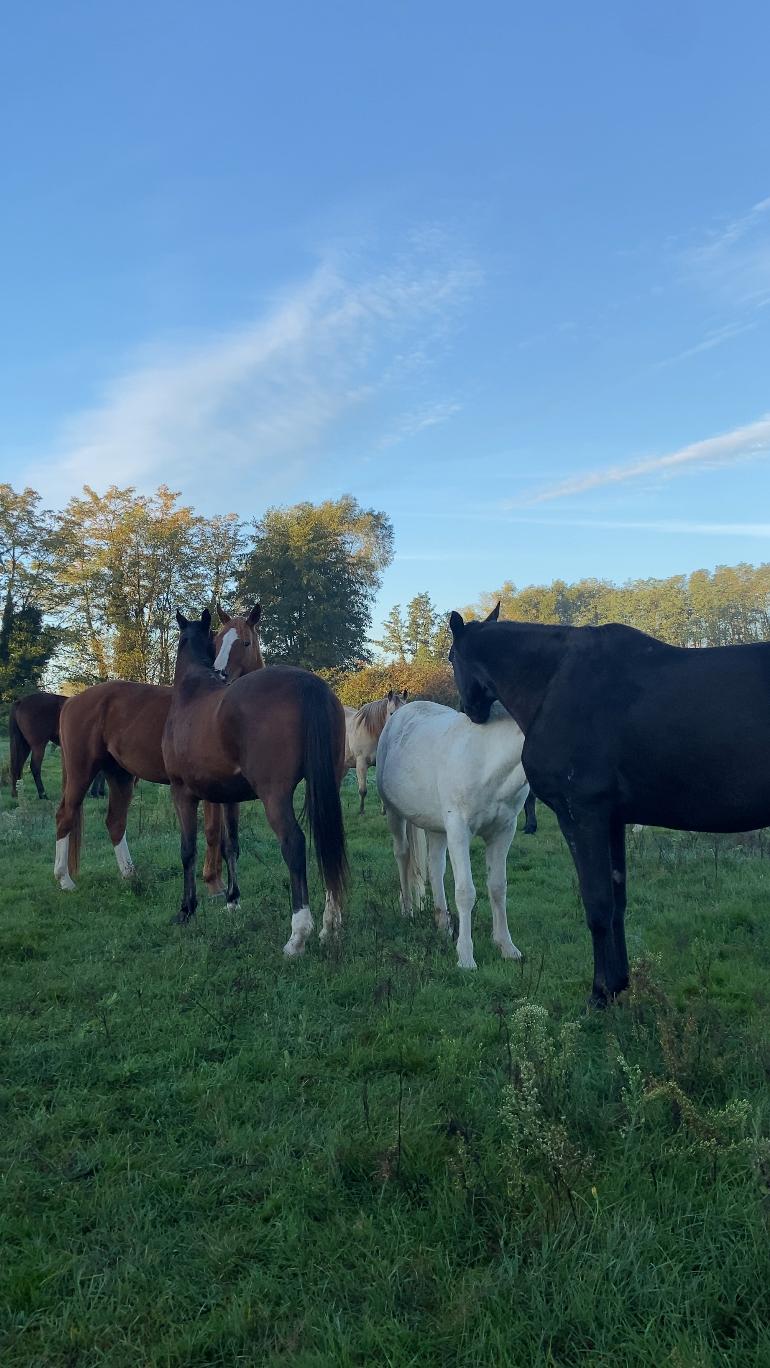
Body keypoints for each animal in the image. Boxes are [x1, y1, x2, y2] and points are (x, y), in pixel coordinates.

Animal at [53, 606, 264, 892]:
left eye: (246, 642)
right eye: (218, 642)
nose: (221, 674)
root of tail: (72, 700)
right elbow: (212, 831)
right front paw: (214, 883)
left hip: (120, 775)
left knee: (115, 821)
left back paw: (130, 874)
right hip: (81, 771)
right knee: (66, 815)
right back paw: (64, 879)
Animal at [162, 608, 347, 956]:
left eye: (245, 642)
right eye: (217, 641)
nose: (223, 674)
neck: (191, 691)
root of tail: (307, 681)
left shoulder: (182, 793)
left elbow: (187, 850)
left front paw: (186, 909)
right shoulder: (227, 798)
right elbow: (230, 845)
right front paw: (232, 901)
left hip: (275, 797)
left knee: (294, 843)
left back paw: (297, 936)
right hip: (327, 787)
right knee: (327, 842)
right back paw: (330, 926)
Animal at [377, 700, 529, 969]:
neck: (488, 762)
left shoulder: (503, 831)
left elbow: (498, 887)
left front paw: (507, 947)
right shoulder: (459, 830)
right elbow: (466, 891)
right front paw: (466, 957)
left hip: (436, 828)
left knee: (435, 868)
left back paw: (443, 924)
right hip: (395, 814)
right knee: (402, 855)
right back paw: (408, 909)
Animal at [449, 603, 770, 1006]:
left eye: (451, 657)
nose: (470, 710)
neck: (554, 680)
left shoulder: (582, 816)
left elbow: (598, 905)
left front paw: (599, 994)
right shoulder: (613, 821)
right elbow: (618, 902)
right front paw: (619, 985)